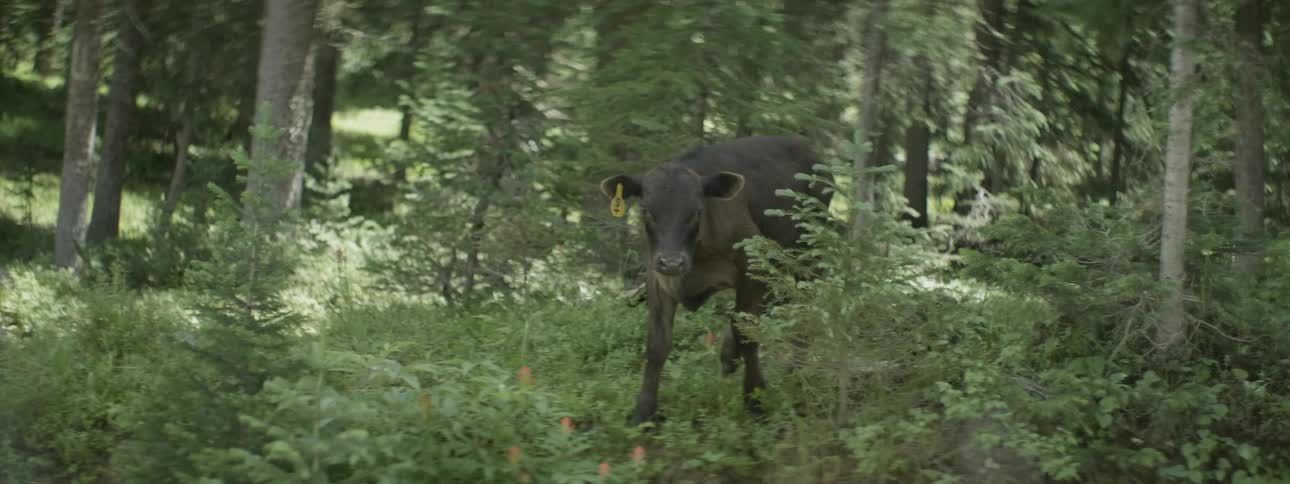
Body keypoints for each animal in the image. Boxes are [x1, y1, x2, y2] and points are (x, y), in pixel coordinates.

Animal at [599, 135, 833, 426]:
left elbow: (748, 337)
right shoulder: (657, 278)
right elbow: (657, 345)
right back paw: (730, 356)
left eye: (697, 212)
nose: (672, 262)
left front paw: (755, 399)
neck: (697, 256)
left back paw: (794, 372)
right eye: (646, 210)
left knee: (802, 304)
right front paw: (642, 413)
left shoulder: (752, 267)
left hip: (805, 254)